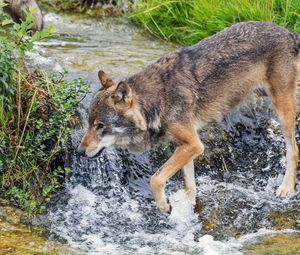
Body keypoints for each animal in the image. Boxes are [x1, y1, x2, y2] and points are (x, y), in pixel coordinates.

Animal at [78, 21, 300, 213]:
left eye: (100, 125)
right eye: (88, 123)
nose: (79, 151)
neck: (158, 99)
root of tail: (287, 32)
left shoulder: (193, 144)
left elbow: (155, 179)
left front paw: (165, 206)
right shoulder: (185, 145)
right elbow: (189, 185)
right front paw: (188, 209)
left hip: (282, 109)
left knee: (293, 149)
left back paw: (286, 188)